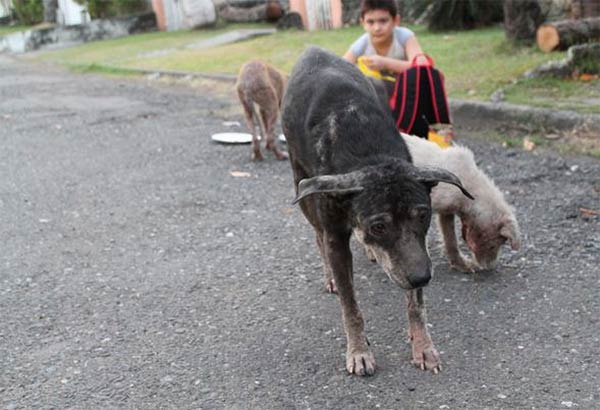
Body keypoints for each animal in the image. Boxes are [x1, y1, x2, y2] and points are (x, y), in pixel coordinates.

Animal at [282, 46, 474, 376]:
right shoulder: (336, 236)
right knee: (317, 234)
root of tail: (312, 50)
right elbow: (350, 307)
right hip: (302, 186)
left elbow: (416, 305)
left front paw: (423, 346)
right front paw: (359, 351)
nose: (423, 278)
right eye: (379, 226)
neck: (370, 156)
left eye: (423, 216)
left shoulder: (415, 251)